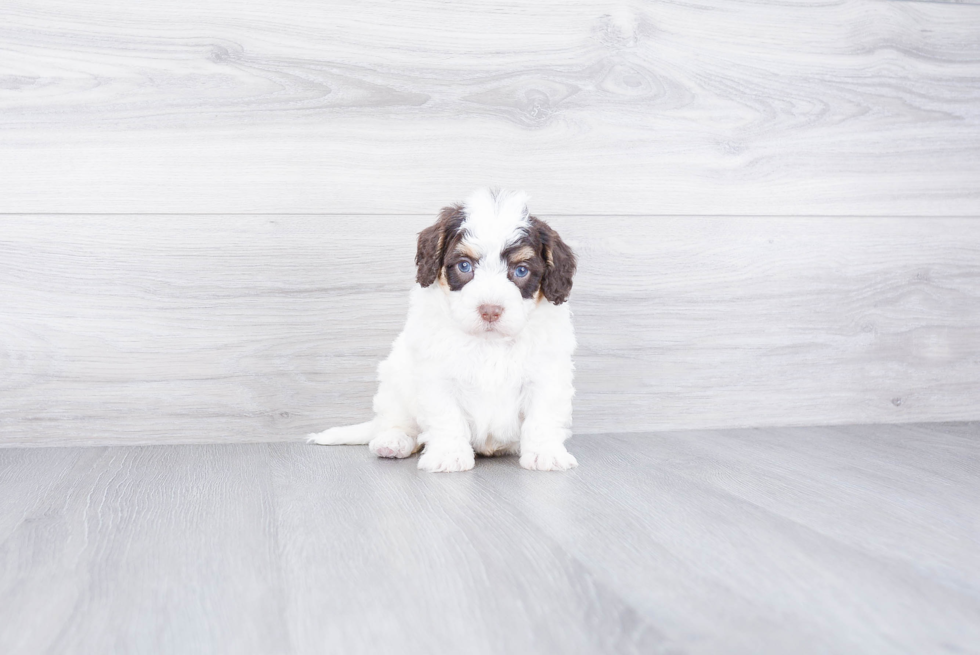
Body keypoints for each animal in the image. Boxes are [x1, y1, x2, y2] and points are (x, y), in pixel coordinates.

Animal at [310, 188, 580, 472]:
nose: (490, 310)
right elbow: (446, 416)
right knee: (396, 420)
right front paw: (449, 454)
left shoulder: (547, 374)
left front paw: (545, 452)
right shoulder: (437, 375)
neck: (489, 343)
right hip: (395, 382)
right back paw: (393, 441)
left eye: (521, 270)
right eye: (464, 266)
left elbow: (543, 416)